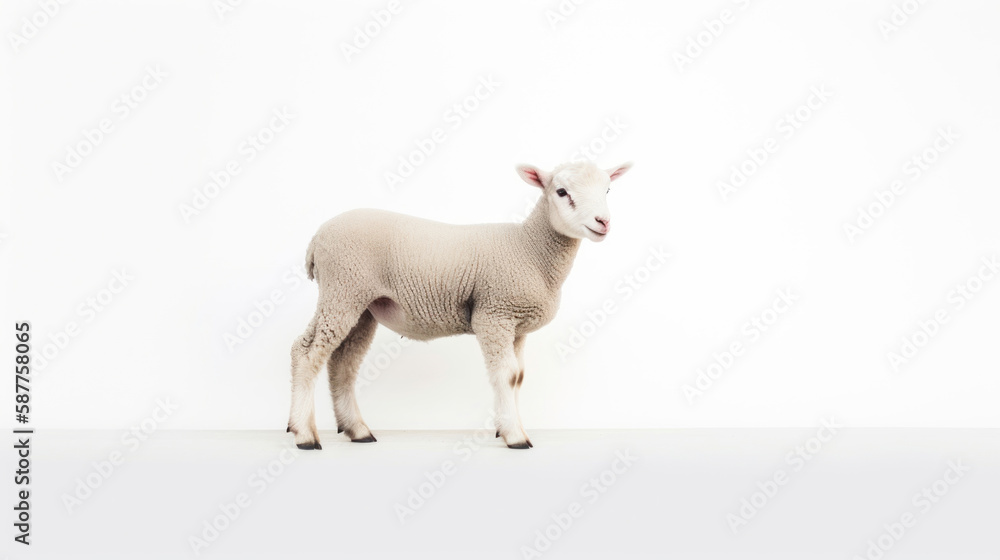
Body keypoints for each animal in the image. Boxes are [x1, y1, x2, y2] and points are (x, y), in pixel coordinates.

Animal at [287, 160, 633, 449]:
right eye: (562, 192)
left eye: (607, 190)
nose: (603, 222)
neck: (530, 249)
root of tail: (317, 238)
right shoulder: (494, 315)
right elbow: (507, 375)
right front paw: (515, 435)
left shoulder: (517, 326)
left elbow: (519, 378)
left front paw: (506, 426)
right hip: (342, 290)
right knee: (307, 353)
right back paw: (304, 434)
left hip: (361, 305)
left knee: (342, 363)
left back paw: (356, 429)